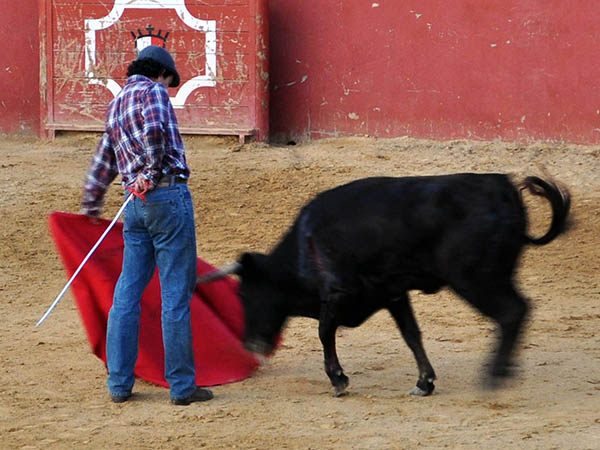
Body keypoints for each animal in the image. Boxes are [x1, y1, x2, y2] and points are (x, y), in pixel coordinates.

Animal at [199, 174, 568, 396]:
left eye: (245, 293)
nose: (250, 344)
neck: (306, 245)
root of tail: (504, 188)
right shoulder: (393, 294)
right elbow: (411, 334)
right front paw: (424, 382)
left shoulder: (338, 293)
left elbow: (324, 332)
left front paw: (338, 380)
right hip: (494, 277)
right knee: (520, 310)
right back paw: (506, 370)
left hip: (476, 279)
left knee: (511, 312)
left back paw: (493, 375)